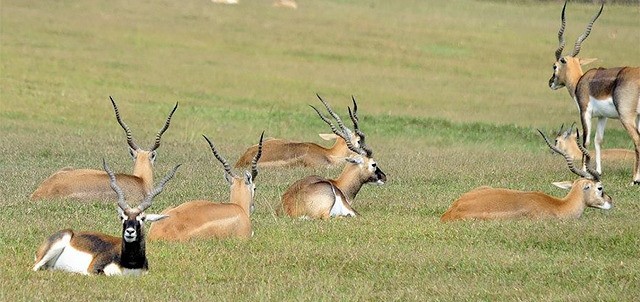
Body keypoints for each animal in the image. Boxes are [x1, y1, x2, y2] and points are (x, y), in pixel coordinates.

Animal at [544, 1, 640, 184]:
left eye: (555, 66)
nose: (551, 82)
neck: (581, 81)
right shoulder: (603, 116)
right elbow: (599, 140)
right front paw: (598, 171)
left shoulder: (585, 112)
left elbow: (586, 141)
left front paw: (583, 171)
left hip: (627, 116)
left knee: (637, 139)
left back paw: (635, 180)